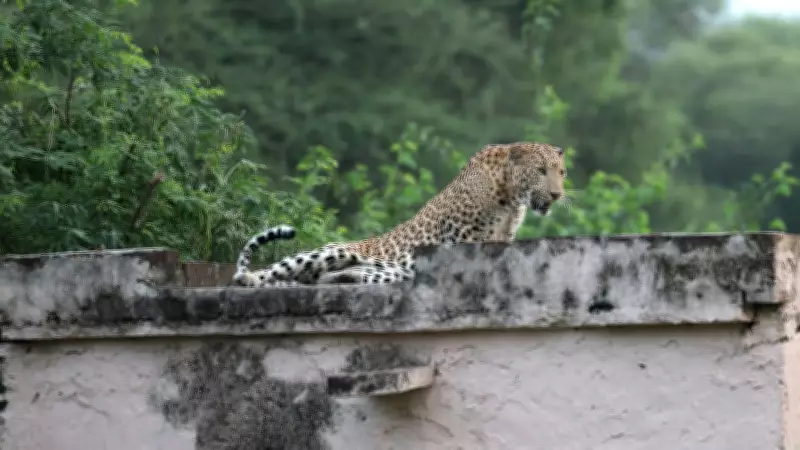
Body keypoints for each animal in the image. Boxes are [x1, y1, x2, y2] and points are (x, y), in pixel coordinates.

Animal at [232, 141, 567, 287]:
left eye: (561, 173)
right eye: (540, 171)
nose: (557, 194)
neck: (510, 198)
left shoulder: (503, 239)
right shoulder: (463, 238)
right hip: (329, 251)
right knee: (262, 274)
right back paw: (251, 277)